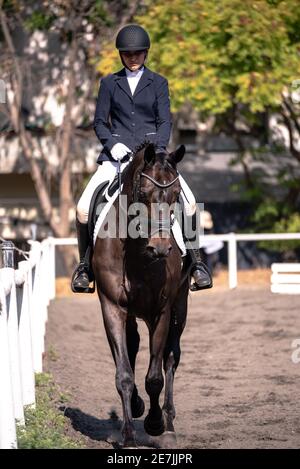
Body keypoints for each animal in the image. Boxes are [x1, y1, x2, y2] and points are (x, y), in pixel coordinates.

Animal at [92, 143, 189, 446]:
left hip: (179, 309)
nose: (160, 248)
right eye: (144, 194)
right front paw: (128, 435)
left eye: (176, 194)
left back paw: (169, 421)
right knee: (133, 346)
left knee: (171, 358)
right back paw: (136, 406)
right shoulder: (111, 308)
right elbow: (123, 372)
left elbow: (155, 377)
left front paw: (155, 424)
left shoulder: (161, 312)